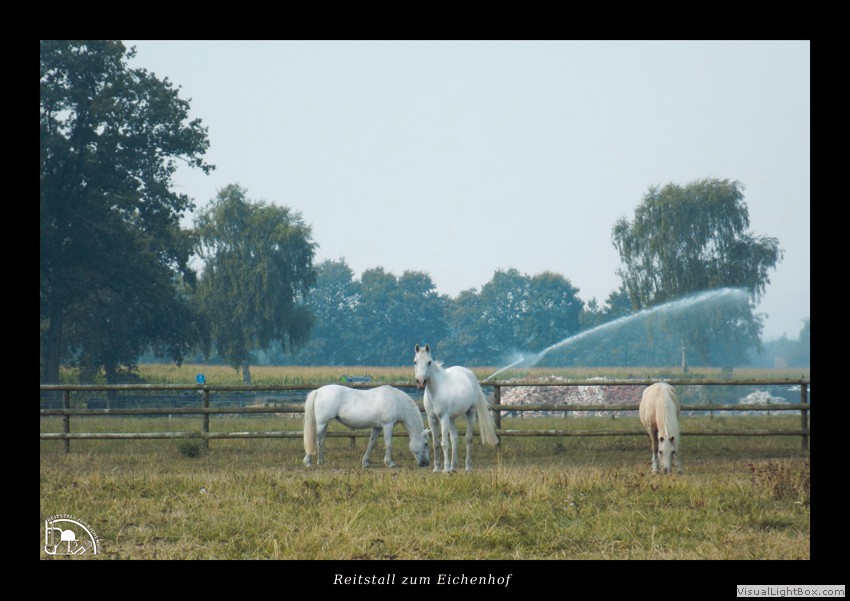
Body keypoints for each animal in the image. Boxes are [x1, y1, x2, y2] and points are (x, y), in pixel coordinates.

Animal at [413, 344, 499, 472]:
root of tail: (470, 375)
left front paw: (445, 469)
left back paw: (467, 467)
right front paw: (436, 468)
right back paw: (453, 467)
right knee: (455, 438)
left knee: (468, 438)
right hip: (451, 419)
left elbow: (444, 443)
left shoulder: (443, 418)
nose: (421, 382)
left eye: (429, 362)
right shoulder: (431, 418)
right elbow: (436, 443)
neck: (435, 391)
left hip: (470, 413)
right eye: (415, 362)